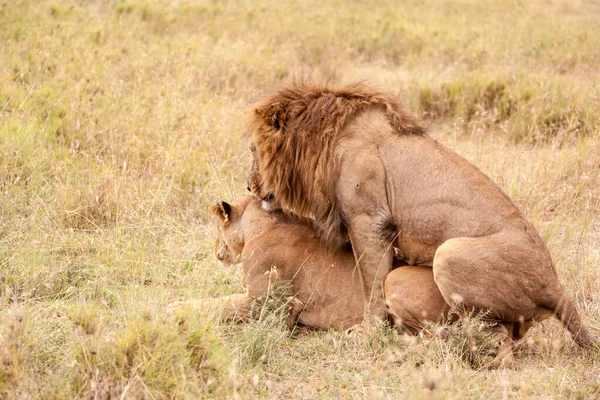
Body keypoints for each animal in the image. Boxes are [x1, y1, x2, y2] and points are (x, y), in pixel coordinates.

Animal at [247, 79, 596, 346]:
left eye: (252, 150)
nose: (249, 187)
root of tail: (555, 287)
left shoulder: (369, 221)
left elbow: (372, 283)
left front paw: (368, 331)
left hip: (449, 253)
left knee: (491, 333)